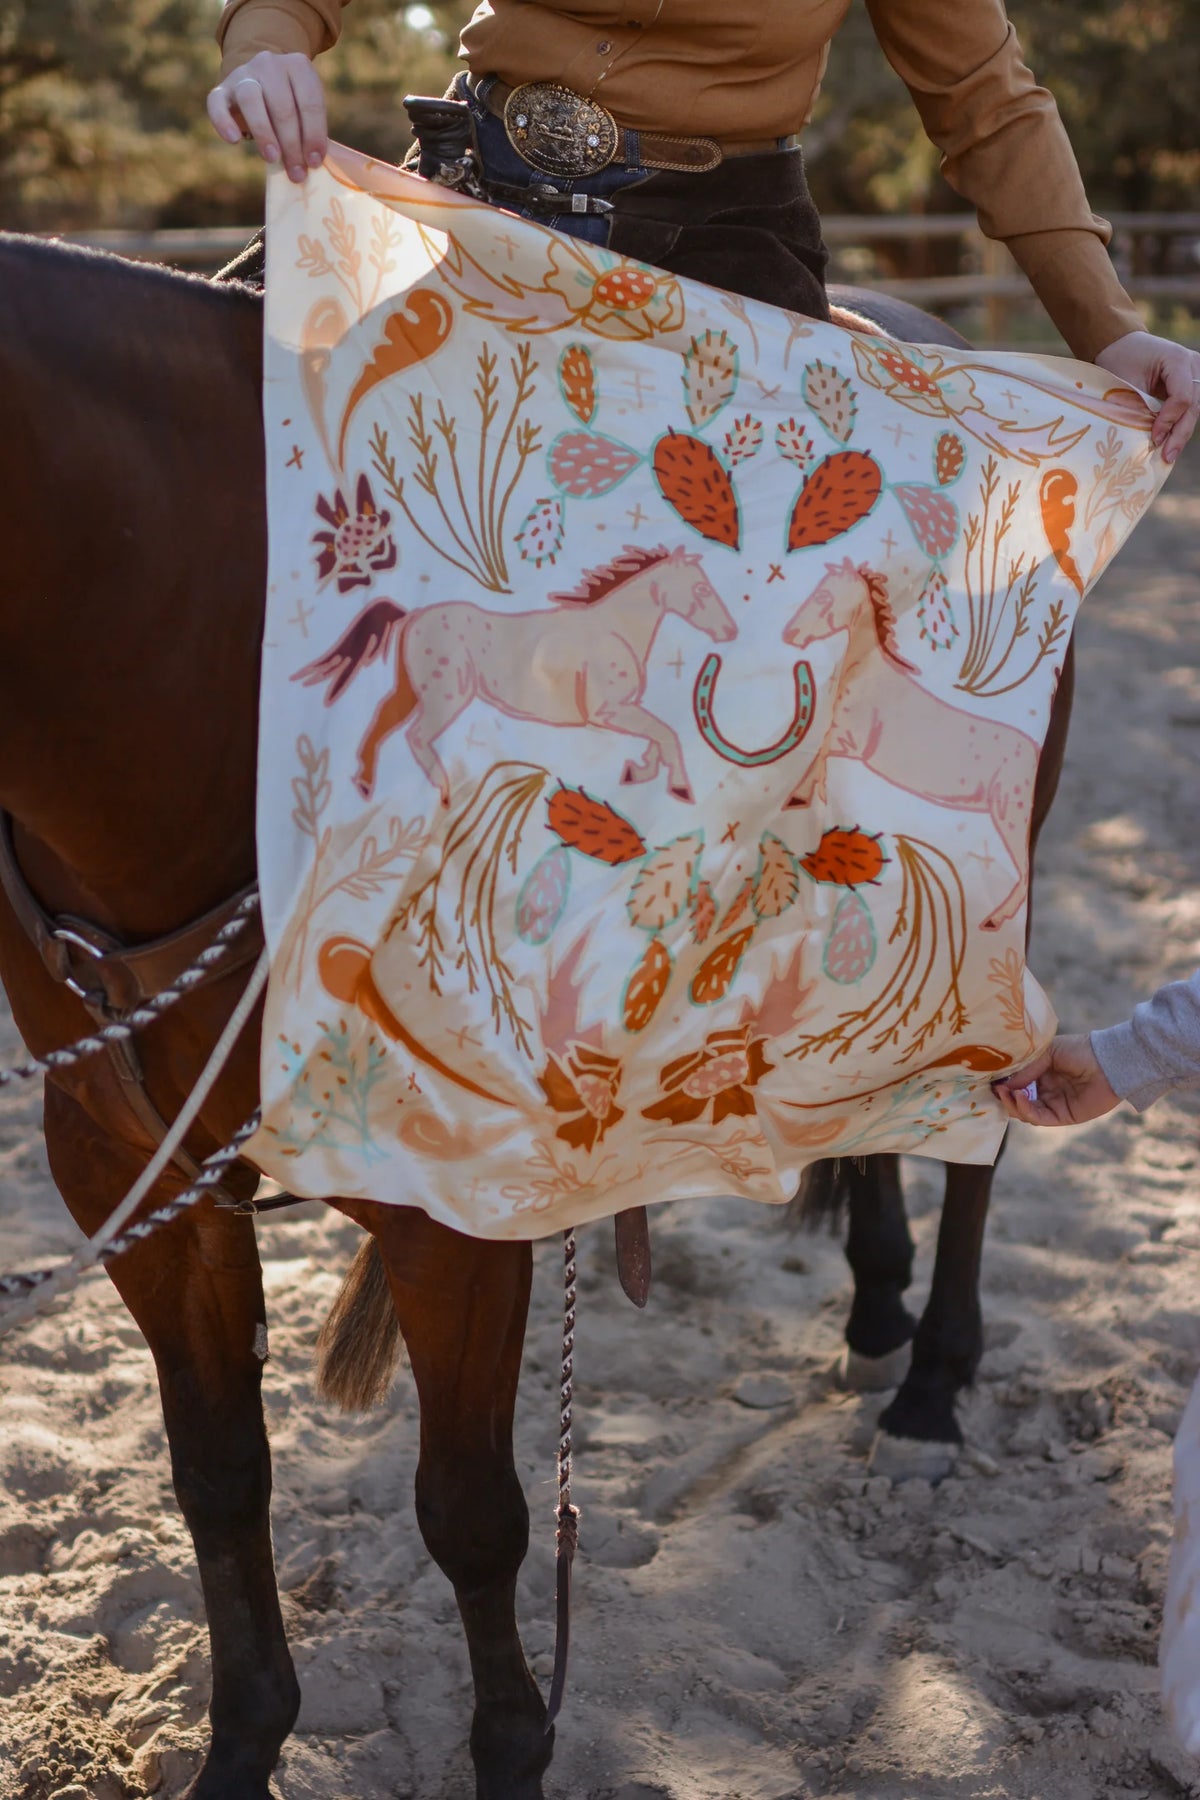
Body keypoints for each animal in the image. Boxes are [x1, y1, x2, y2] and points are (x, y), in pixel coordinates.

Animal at [295, 542, 737, 804]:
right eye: (700, 589)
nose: (729, 631)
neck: (614, 627)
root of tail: (414, 615)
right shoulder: (607, 712)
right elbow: (666, 733)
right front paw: (679, 787)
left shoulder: (624, 709)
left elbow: (657, 738)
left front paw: (637, 771)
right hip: (446, 699)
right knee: (415, 736)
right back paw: (445, 792)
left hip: (413, 692)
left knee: (384, 720)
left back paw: (366, 782)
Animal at [781, 555, 1042, 930]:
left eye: (824, 597)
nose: (790, 634)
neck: (865, 673)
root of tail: (1035, 751)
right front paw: (803, 798)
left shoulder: (851, 744)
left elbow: (817, 756)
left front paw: (800, 797)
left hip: (1009, 814)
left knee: (1022, 870)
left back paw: (993, 920)